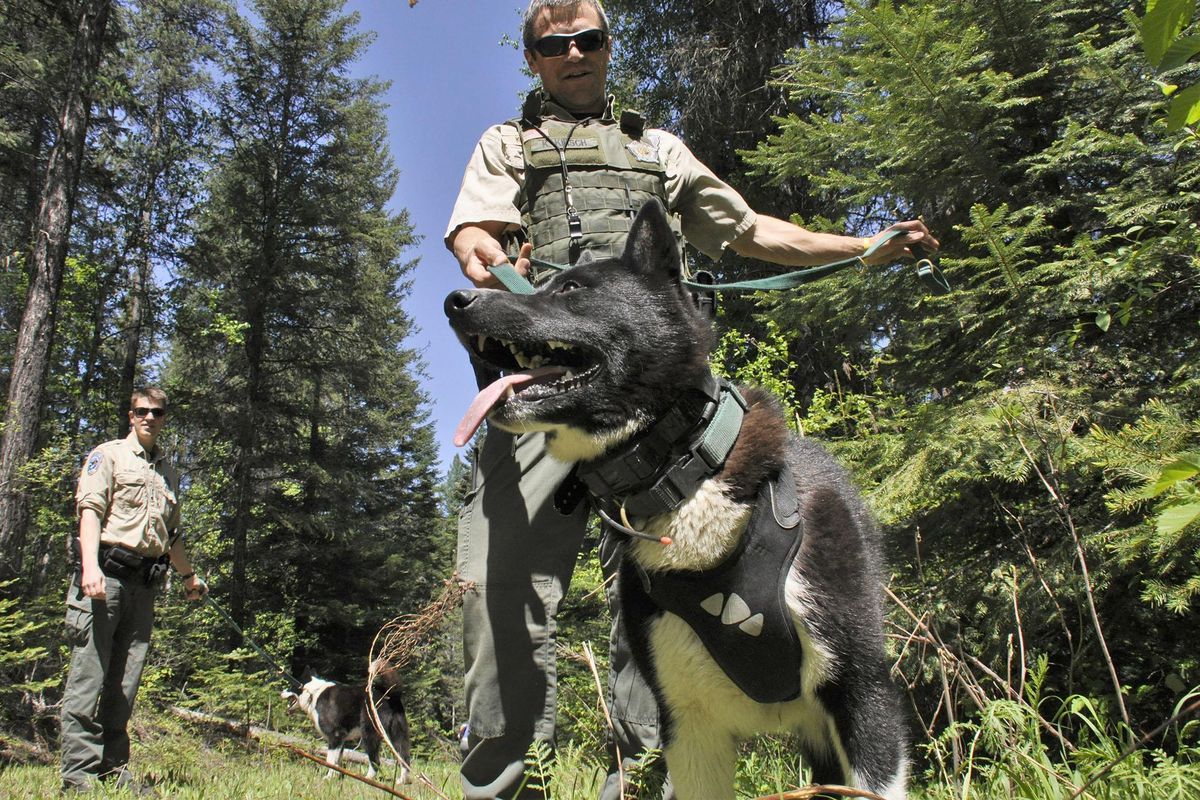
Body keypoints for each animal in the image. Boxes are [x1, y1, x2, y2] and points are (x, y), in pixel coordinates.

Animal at [280, 662, 412, 786]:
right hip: (398, 735)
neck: (313, 693)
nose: (281, 692)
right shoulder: (341, 740)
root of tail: (389, 694)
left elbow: (330, 760)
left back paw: (368, 779)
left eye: (291, 686)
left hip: (369, 734)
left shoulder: (335, 736)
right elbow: (337, 761)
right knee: (405, 758)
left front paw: (328, 778)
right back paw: (402, 781)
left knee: (375, 761)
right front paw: (336, 777)